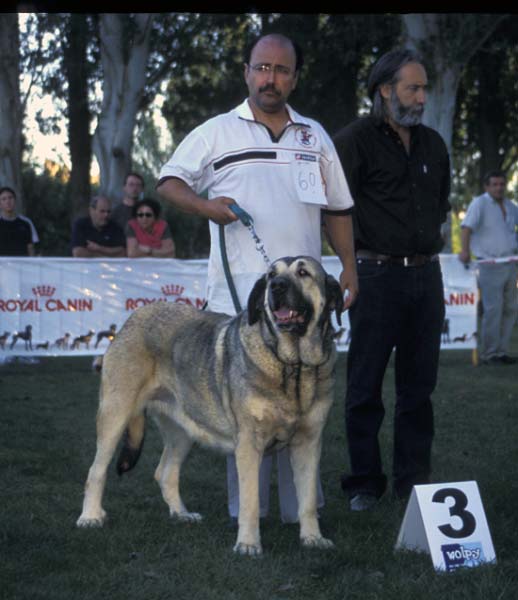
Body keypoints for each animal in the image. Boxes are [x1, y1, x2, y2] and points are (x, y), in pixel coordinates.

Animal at [77, 255, 346, 556]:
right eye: (270, 275)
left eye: (303, 272)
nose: (276, 286)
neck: (293, 365)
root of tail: (132, 319)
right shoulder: (249, 445)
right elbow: (250, 501)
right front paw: (248, 544)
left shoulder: (309, 443)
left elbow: (307, 500)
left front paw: (313, 539)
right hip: (115, 414)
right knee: (96, 471)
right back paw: (90, 517)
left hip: (183, 429)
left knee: (165, 472)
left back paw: (181, 514)